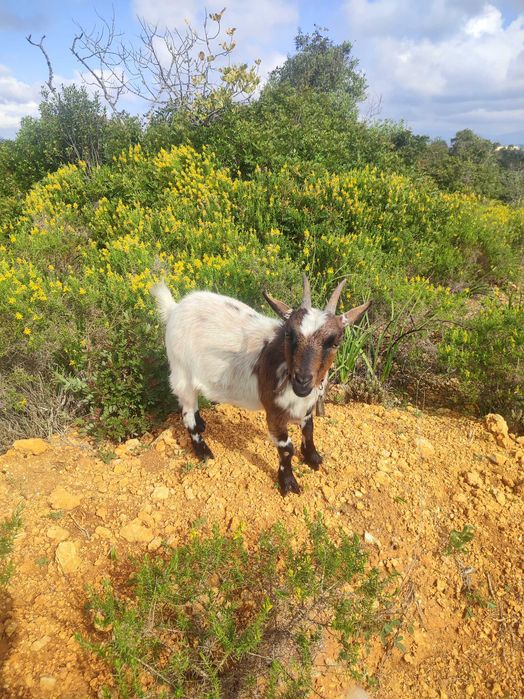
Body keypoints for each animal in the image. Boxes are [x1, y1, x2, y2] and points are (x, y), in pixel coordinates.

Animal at [151, 275, 370, 495]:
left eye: (335, 343)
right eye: (288, 335)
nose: (302, 380)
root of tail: (175, 308)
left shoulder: (306, 407)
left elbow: (309, 430)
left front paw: (313, 458)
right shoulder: (274, 413)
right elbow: (286, 448)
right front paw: (288, 483)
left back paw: (202, 423)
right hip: (182, 373)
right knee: (187, 414)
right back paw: (204, 452)